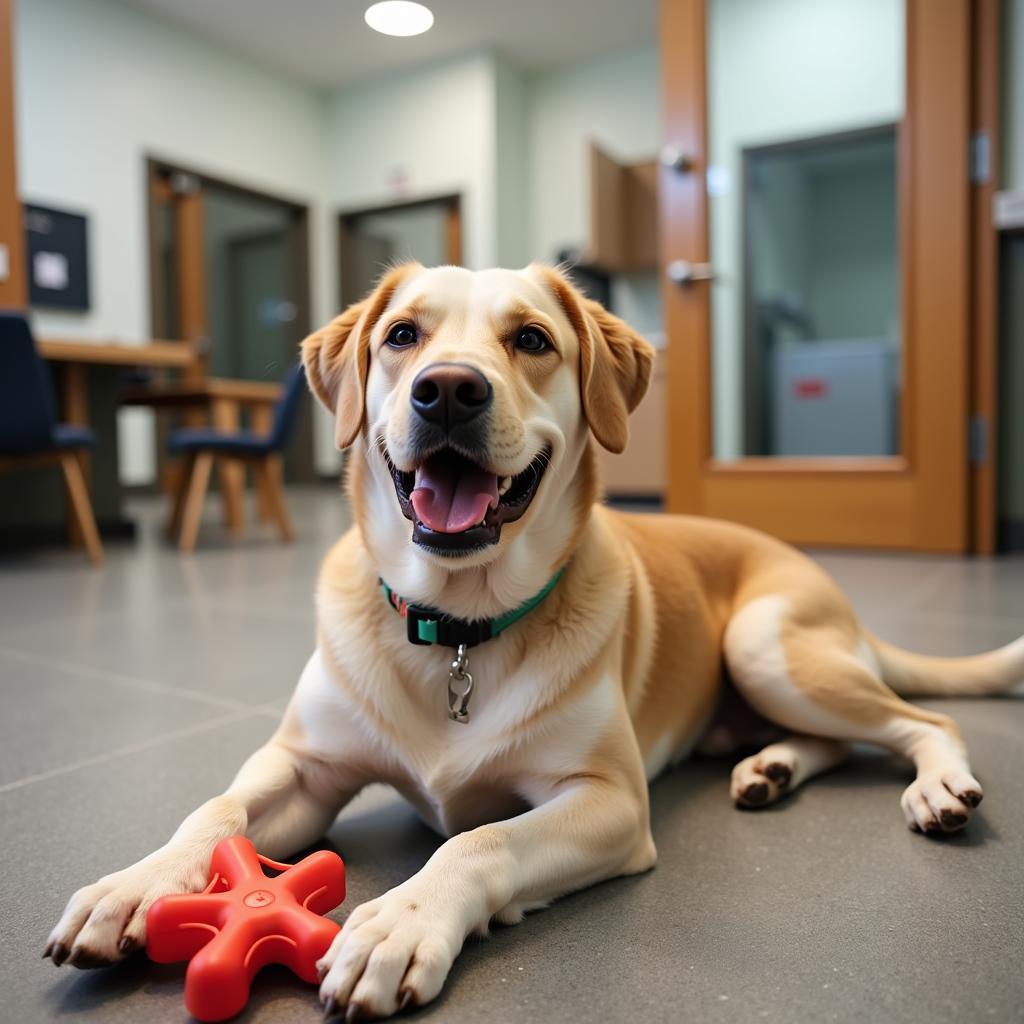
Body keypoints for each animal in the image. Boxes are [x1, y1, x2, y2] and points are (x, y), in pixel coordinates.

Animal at [44, 262, 1024, 1015]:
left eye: (532, 340)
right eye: (402, 335)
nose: (448, 389)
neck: (457, 630)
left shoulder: (610, 802)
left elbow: (476, 842)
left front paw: (400, 922)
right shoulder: (305, 766)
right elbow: (215, 811)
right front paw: (137, 884)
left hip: (766, 643)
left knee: (920, 722)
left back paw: (939, 787)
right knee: (833, 740)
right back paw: (770, 768)